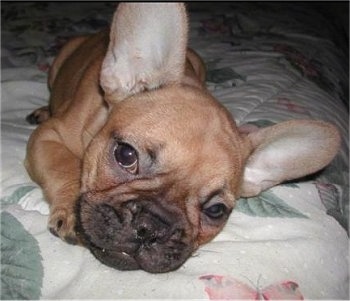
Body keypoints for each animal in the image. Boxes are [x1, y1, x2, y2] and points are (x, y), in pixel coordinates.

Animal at [26, 2, 340, 274]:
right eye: (125, 155)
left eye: (216, 210)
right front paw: (69, 208)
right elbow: (63, 166)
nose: (151, 227)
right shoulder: (48, 137)